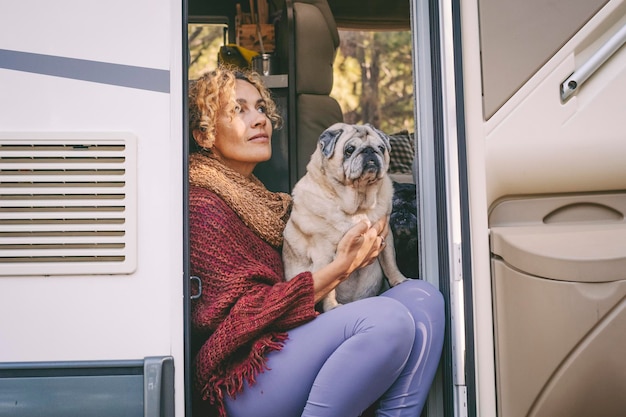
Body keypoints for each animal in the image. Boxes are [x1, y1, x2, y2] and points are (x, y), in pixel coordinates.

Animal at [282, 122, 410, 310]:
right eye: (349, 150)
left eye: (381, 148)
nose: (370, 151)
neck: (358, 205)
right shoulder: (324, 254)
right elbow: (329, 287)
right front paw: (332, 306)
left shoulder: (386, 237)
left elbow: (390, 262)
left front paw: (399, 280)